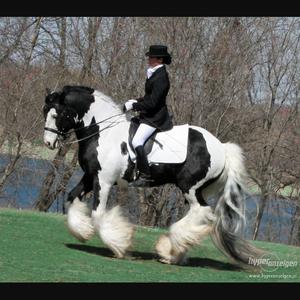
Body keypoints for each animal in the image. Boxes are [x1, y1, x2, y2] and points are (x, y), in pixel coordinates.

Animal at [43, 84, 262, 264]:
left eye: (55, 114)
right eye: (45, 111)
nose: (48, 143)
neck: (103, 132)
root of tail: (222, 147)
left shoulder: (104, 181)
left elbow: (97, 214)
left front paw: (120, 244)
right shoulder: (90, 176)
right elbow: (71, 197)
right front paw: (82, 231)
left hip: (189, 187)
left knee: (202, 211)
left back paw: (168, 250)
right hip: (200, 189)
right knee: (198, 214)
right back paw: (175, 251)